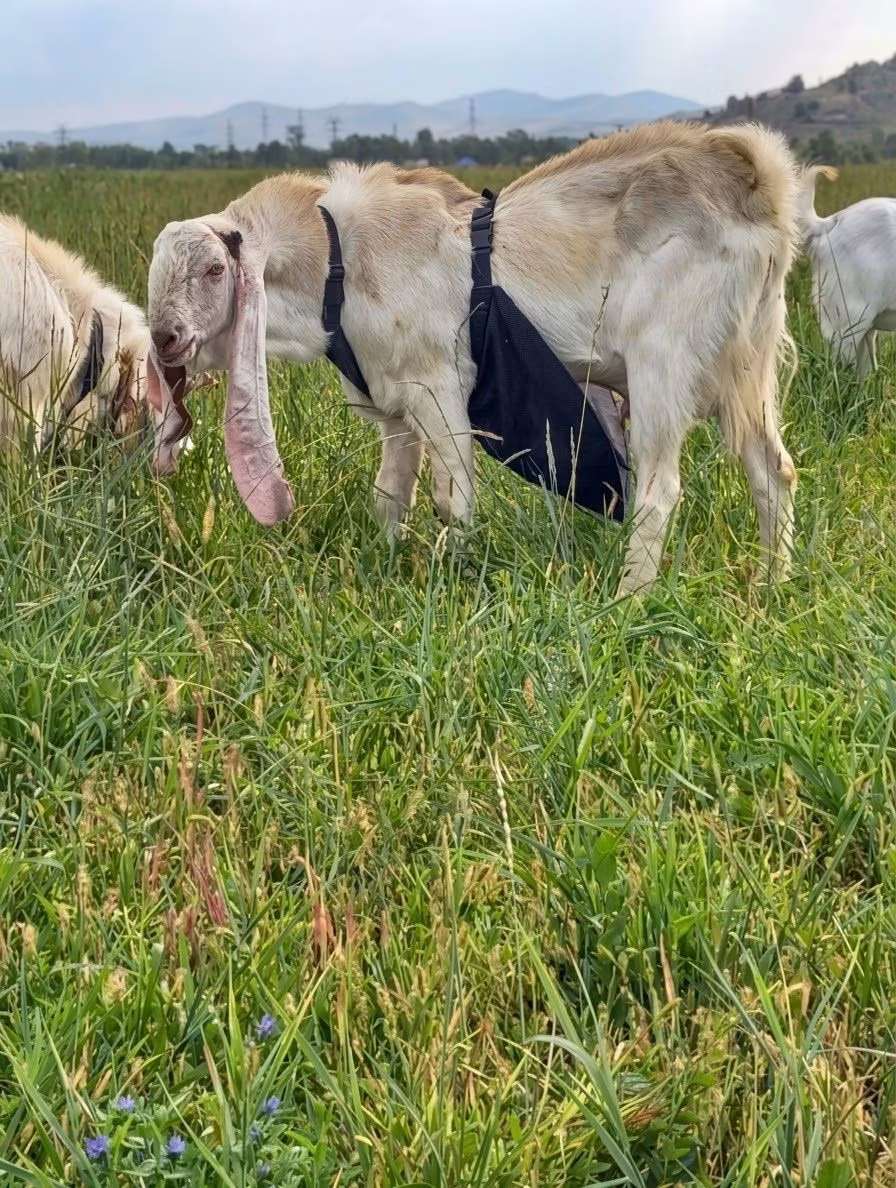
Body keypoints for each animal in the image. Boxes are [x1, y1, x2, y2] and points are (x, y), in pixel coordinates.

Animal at [148, 122, 800, 594]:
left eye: (214, 270)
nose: (164, 338)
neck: (338, 260)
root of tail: (756, 180)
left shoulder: (441, 394)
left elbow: (451, 498)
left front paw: (453, 581)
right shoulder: (395, 407)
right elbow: (391, 495)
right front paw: (383, 564)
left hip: (663, 367)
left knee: (660, 491)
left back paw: (627, 599)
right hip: (744, 368)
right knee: (774, 470)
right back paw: (772, 588)